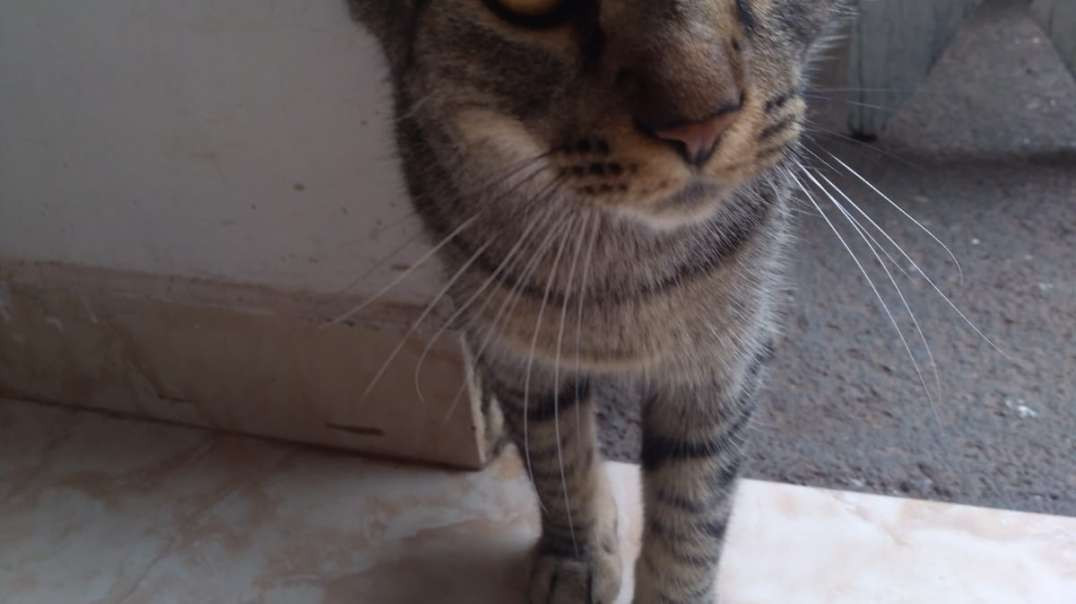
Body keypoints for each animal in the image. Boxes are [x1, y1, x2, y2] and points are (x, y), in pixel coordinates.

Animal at [350, 1, 839, 602]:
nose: (701, 125)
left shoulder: (724, 359)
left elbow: (694, 506)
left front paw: (676, 591)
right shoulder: (514, 349)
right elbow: (556, 460)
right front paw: (576, 557)